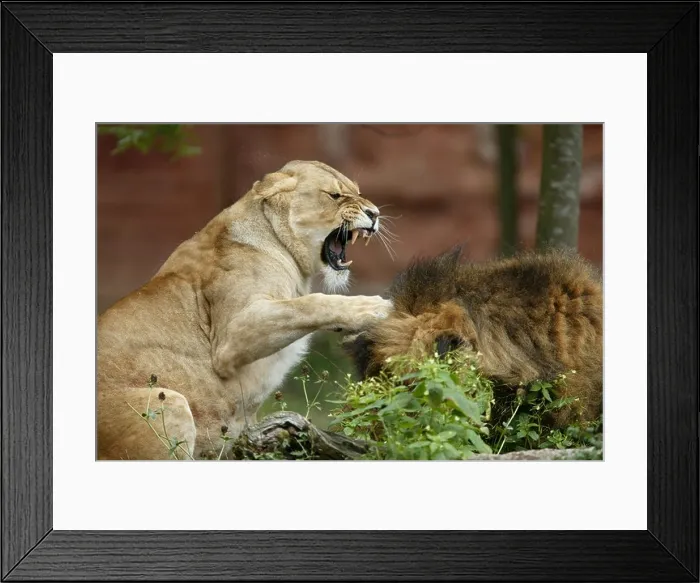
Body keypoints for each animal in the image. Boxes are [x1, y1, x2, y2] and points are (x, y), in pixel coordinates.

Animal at [97, 160, 393, 460]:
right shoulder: (231, 338)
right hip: (169, 401)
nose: (375, 214)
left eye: (358, 192)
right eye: (335, 195)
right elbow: (309, 304)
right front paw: (373, 308)